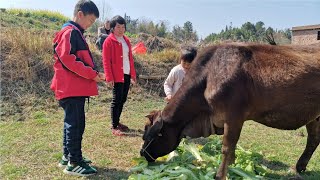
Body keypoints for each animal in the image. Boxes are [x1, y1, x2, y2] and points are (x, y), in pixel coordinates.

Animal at [140, 43, 320, 180]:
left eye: (150, 136)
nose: (142, 153)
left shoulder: (234, 117)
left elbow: (227, 147)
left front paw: (220, 175)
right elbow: (232, 147)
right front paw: (234, 167)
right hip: (314, 117)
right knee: (313, 140)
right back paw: (299, 167)